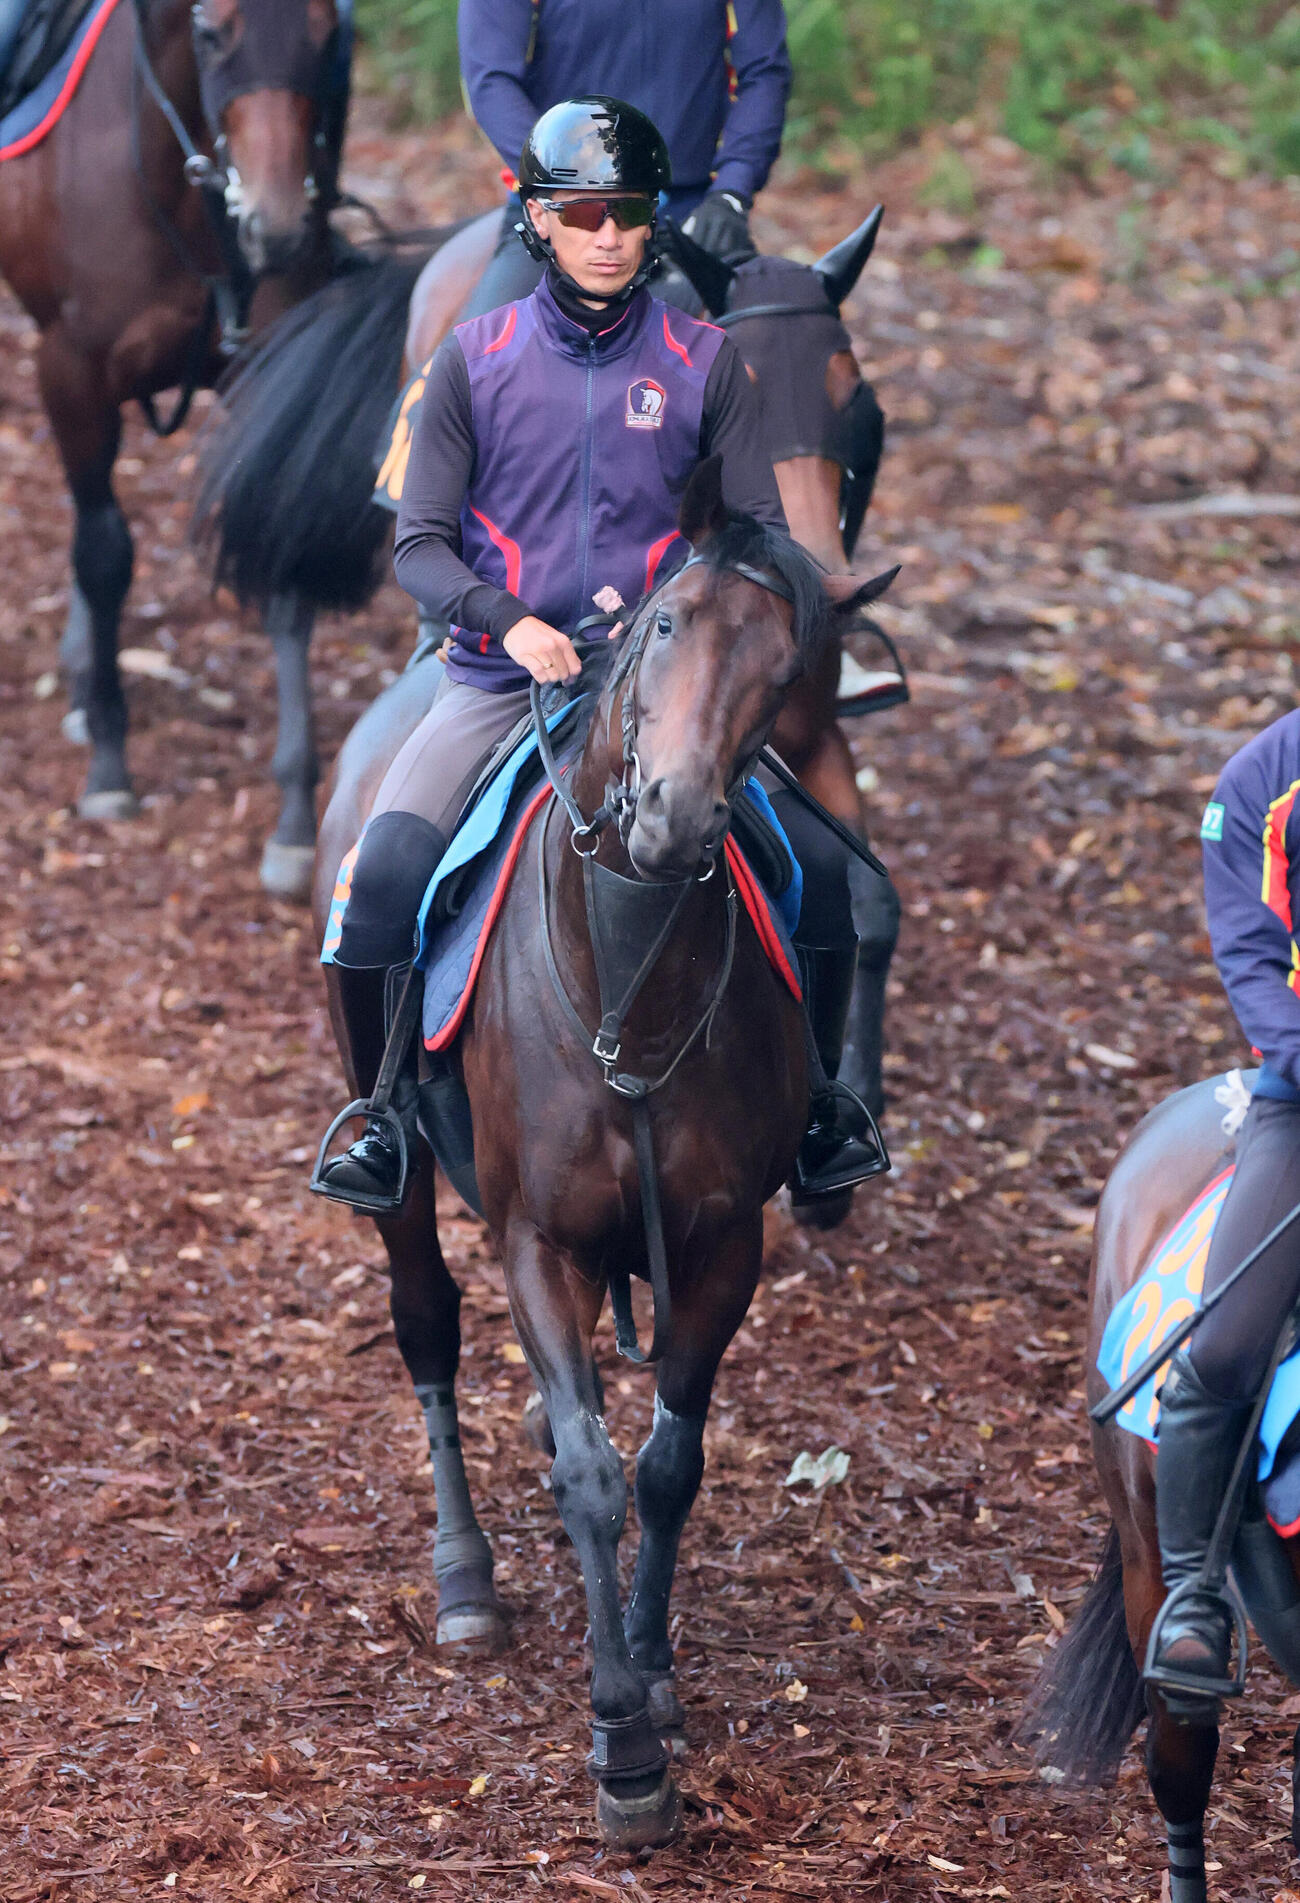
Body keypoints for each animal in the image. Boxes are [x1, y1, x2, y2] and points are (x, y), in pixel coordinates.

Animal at [0, 0, 346, 889]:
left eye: (326, 31)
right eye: (214, 33)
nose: (277, 227)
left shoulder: (265, 368)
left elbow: (280, 555)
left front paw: (294, 817)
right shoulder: (71, 370)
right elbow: (104, 553)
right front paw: (110, 765)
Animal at [310, 456, 896, 1849]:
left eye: (784, 664)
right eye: (667, 621)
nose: (675, 814)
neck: (624, 971)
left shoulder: (724, 1241)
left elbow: (668, 1464)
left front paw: (657, 1668)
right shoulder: (534, 1238)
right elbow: (591, 1470)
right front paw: (622, 1745)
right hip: (394, 1150)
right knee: (424, 1320)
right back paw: (465, 1580)